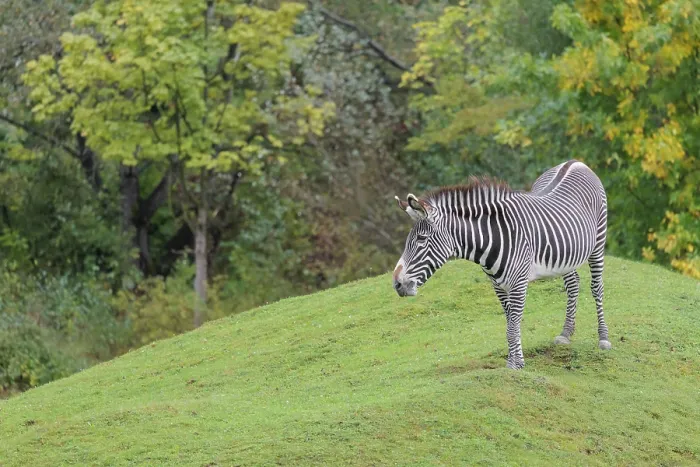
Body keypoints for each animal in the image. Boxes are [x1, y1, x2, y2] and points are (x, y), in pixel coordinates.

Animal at [392, 160, 611, 369]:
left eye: (421, 239)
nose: (397, 284)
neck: (494, 239)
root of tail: (576, 162)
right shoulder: (497, 285)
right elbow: (509, 323)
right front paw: (514, 361)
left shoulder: (518, 283)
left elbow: (513, 326)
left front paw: (516, 365)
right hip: (567, 255)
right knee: (573, 283)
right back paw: (566, 333)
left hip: (598, 242)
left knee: (597, 287)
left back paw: (603, 337)